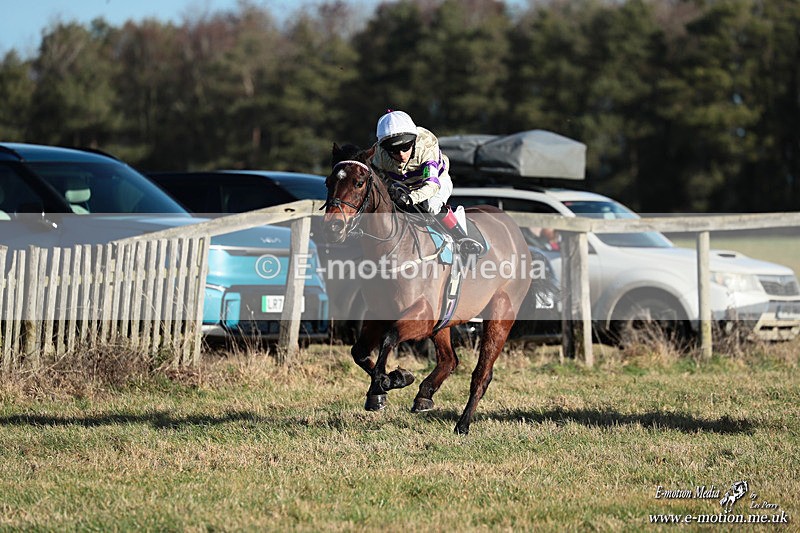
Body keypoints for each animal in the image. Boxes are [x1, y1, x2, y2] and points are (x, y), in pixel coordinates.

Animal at [322, 143, 533, 435]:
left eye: (358, 182)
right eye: (329, 182)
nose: (333, 227)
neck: (393, 249)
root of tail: (513, 228)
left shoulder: (422, 315)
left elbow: (389, 338)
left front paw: (390, 381)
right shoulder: (377, 315)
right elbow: (359, 352)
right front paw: (385, 387)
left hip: (501, 314)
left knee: (481, 374)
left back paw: (463, 424)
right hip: (445, 320)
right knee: (449, 359)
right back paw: (425, 394)